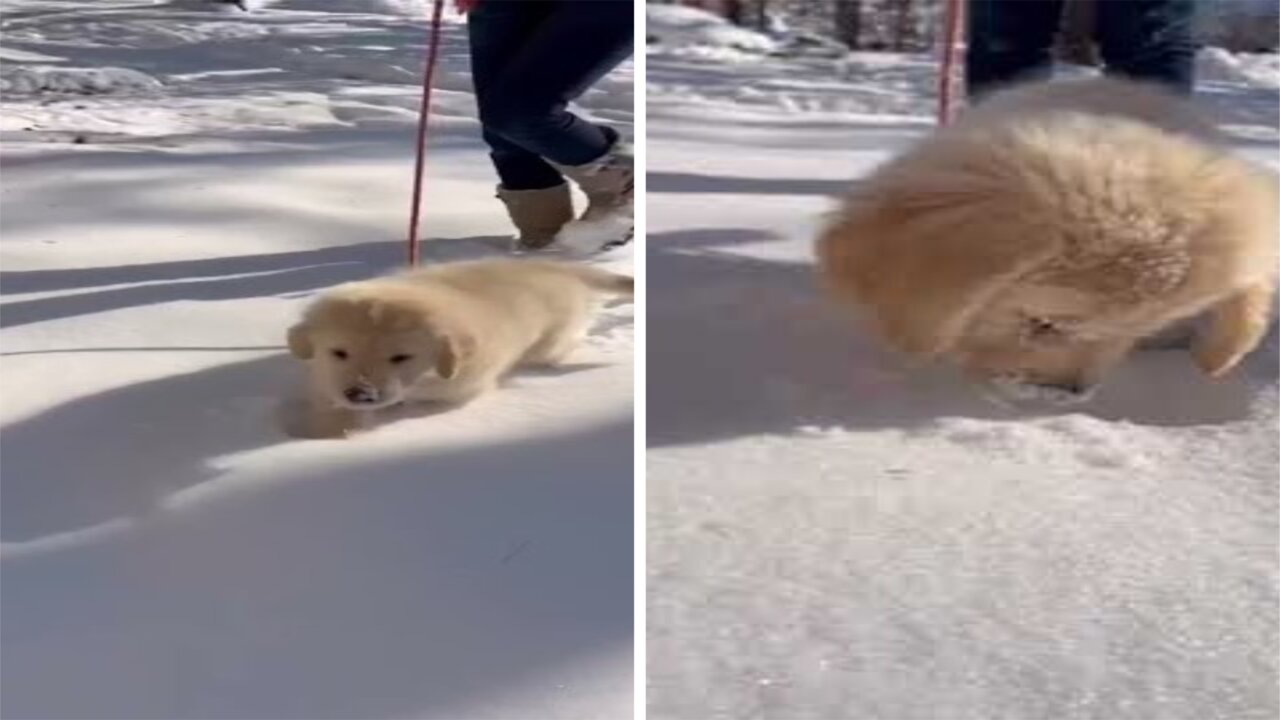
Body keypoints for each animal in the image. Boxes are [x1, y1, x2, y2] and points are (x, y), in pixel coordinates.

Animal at [285, 257, 634, 438]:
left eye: (401, 357)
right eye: (339, 353)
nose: (360, 394)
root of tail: (556, 266)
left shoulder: (461, 391)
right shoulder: (326, 380)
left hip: (549, 341)